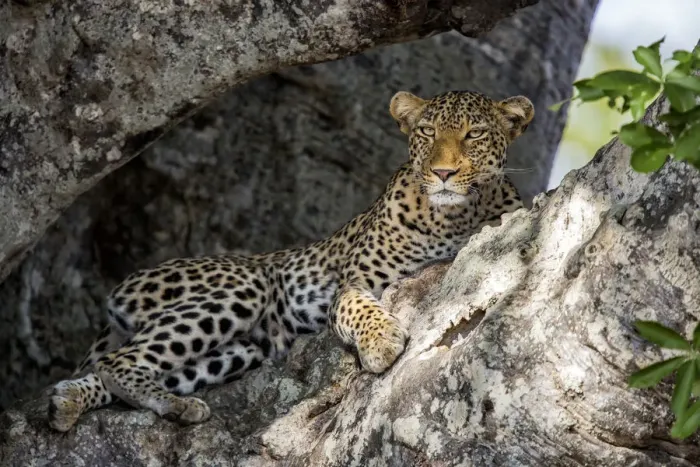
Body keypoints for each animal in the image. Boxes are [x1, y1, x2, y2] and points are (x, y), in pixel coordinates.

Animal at [47, 89, 534, 432]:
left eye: (474, 134)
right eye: (428, 133)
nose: (443, 173)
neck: (453, 217)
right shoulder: (353, 283)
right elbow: (359, 308)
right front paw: (380, 343)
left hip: (243, 349)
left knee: (120, 367)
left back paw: (74, 401)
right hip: (244, 286)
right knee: (120, 361)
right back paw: (169, 405)